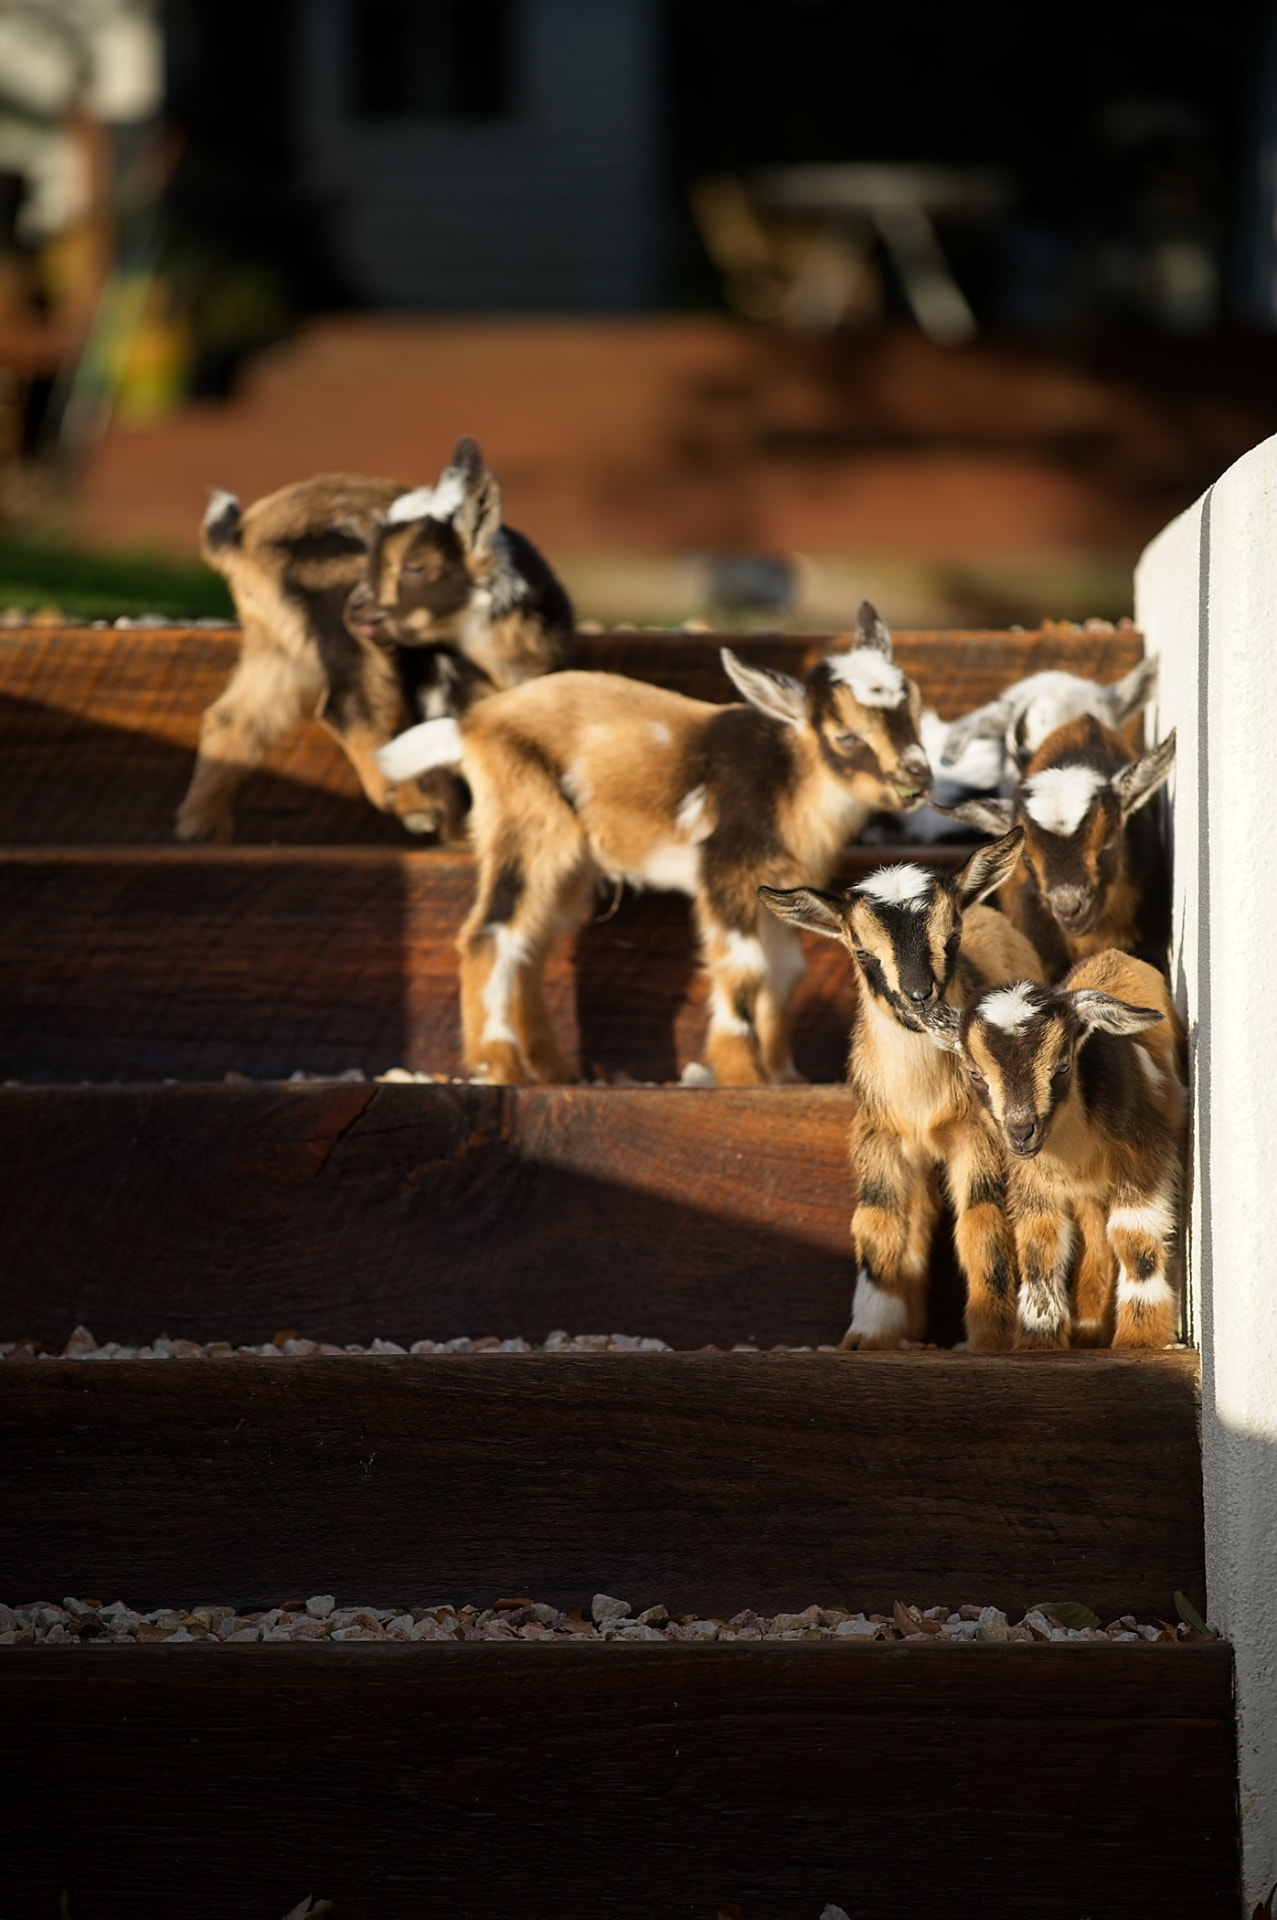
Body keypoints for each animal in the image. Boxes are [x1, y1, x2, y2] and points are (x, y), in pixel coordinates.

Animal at [176, 437, 573, 844]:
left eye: (414, 567)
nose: (356, 605)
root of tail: (241, 534)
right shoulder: (436, 687)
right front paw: (461, 837)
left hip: (279, 645)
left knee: (234, 718)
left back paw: (201, 832)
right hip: (333, 603)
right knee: (347, 705)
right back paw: (410, 805)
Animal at [376, 602, 933, 1086]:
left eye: (913, 709)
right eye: (846, 736)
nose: (918, 780)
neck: (790, 779)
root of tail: (471, 724)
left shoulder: (774, 882)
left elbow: (784, 971)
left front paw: (784, 1076)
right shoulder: (725, 871)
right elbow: (745, 967)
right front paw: (742, 1075)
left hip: (568, 863)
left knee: (532, 942)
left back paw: (551, 1069)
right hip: (529, 825)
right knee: (491, 934)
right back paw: (500, 1068)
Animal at [760, 829, 1045, 1351]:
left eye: (951, 935)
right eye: (861, 951)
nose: (919, 996)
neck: (921, 1099)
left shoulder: (978, 1135)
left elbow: (982, 1221)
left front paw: (989, 1339)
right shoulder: (879, 1135)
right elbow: (881, 1222)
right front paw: (869, 1334)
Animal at [919, 950, 1186, 1349]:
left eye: (1063, 1066)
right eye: (974, 1073)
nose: (1021, 1132)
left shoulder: (1144, 1152)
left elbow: (1134, 1237)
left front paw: (1140, 1339)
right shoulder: (1031, 1175)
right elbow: (1039, 1245)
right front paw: (1038, 1340)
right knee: (1093, 1236)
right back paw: (1088, 1327)